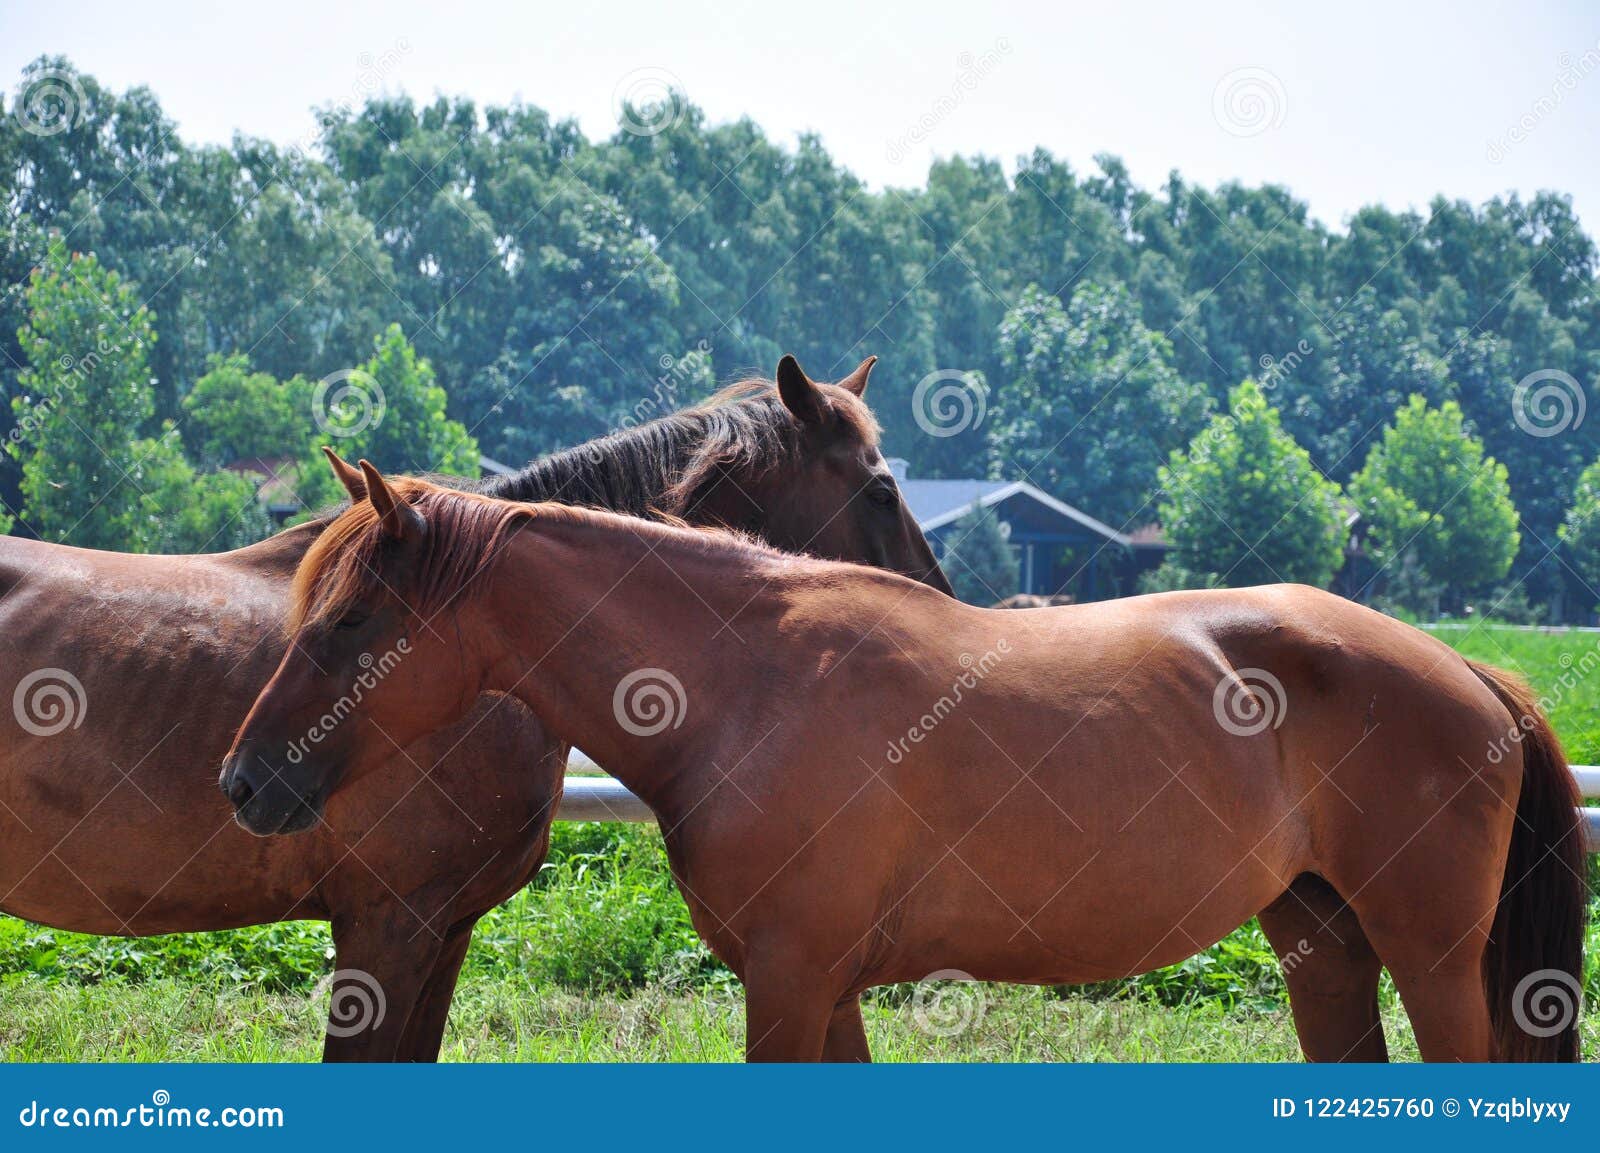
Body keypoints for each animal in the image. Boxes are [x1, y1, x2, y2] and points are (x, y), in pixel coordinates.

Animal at [223, 458, 1586, 1063]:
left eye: (351, 621)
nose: (244, 783)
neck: (749, 685)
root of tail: (1472, 674)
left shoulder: (789, 981)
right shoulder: (824, 987)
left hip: (1430, 956)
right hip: (1321, 940)